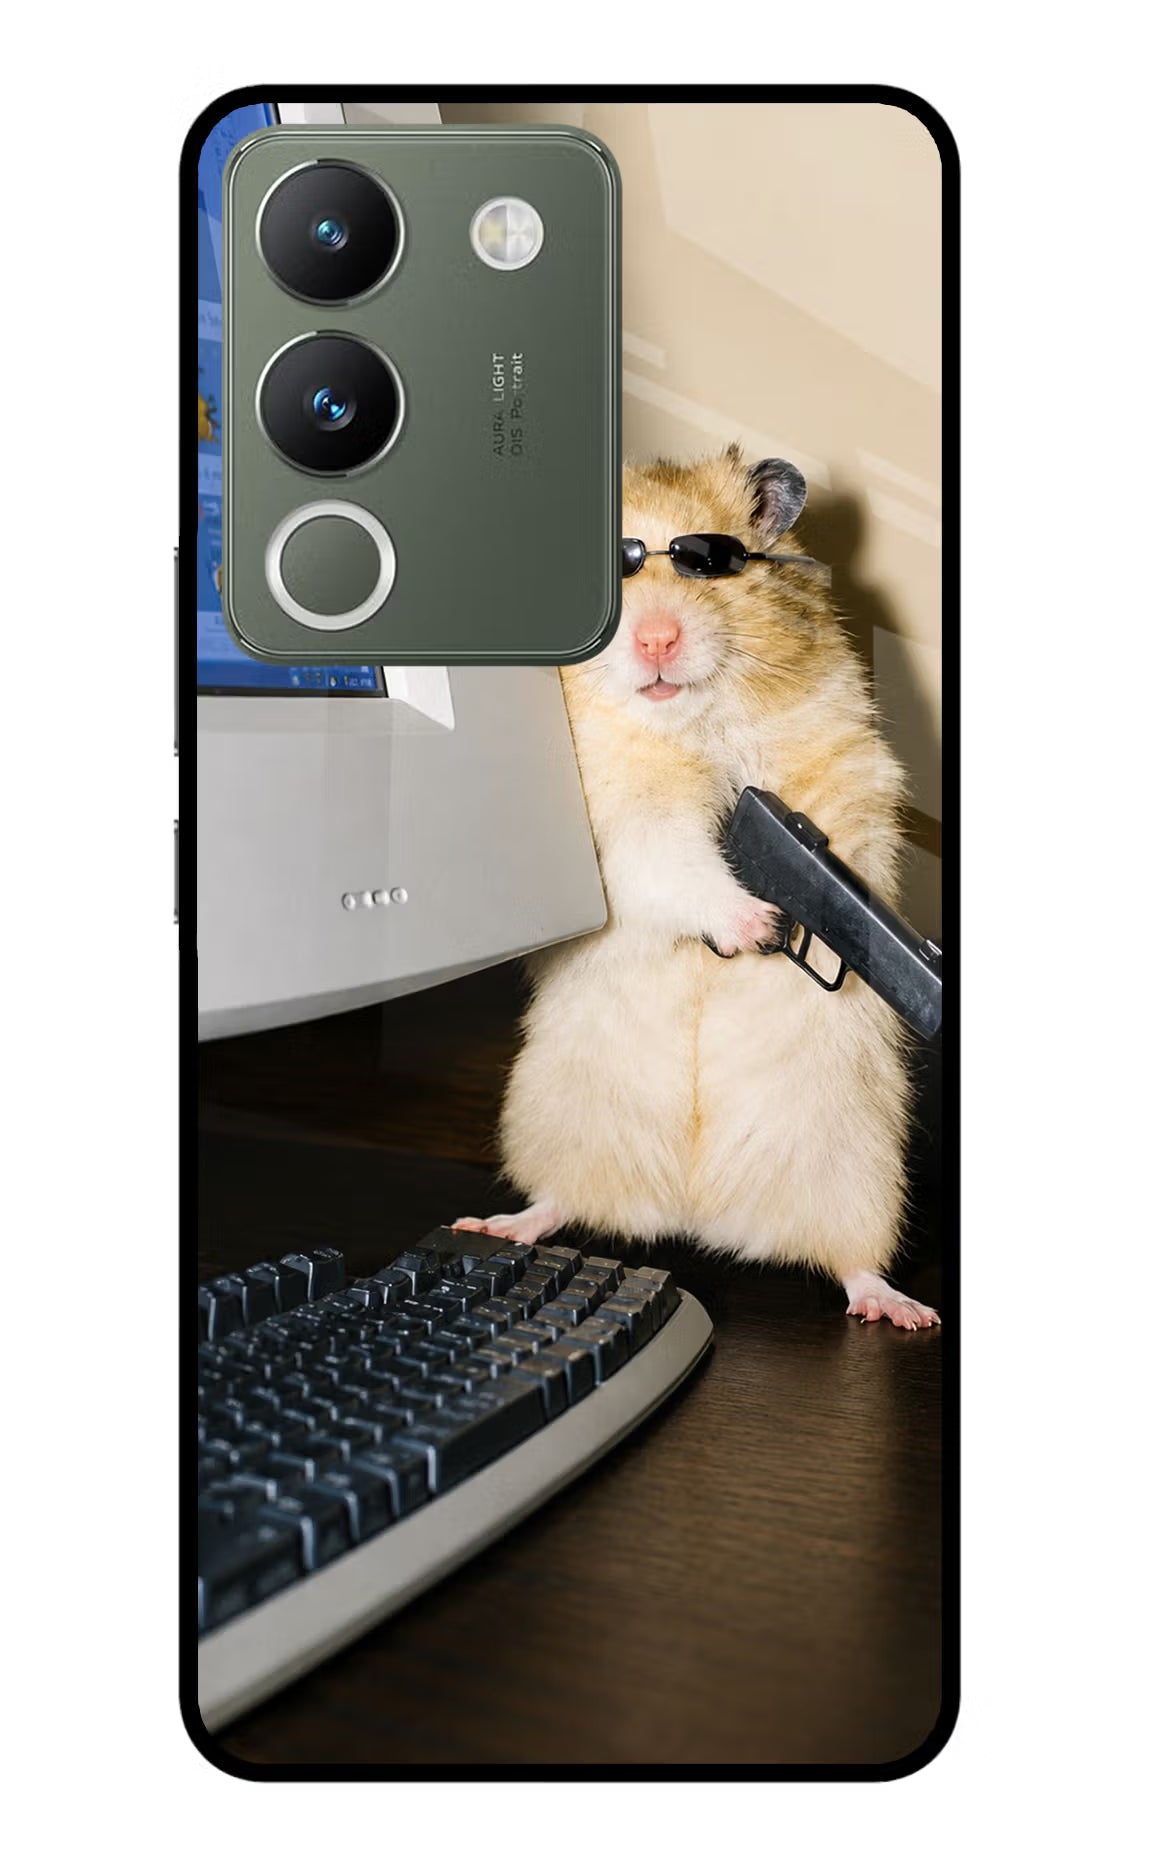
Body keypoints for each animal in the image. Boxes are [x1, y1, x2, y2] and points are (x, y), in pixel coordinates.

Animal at [457, 447, 939, 1329]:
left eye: (708, 564)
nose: (657, 639)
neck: (690, 722)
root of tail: (694, 1213)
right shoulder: (621, 820)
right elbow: (676, 862)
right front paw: (756, 925)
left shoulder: (841, 764)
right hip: (557, 1118)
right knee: (561, 1200)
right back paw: (498, 1224)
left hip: (857, 1168)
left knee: (852, 1261)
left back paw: (901, 1309)